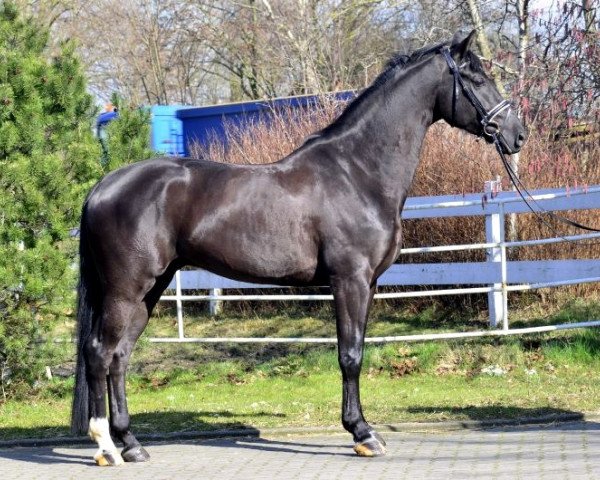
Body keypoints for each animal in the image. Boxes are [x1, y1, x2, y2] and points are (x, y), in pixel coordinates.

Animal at [72, 31, 528, 464]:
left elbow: (356, 350)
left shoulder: (368, 285)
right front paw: (363, 434)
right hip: (125, 290)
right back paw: (107, 447)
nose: (517, 134)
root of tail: (102, 186)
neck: (356, 172)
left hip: (150, 289)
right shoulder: (349, 281)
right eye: (476, 78)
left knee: (120, 357)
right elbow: (350, 355)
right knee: (99, 353)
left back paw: (132, 444)